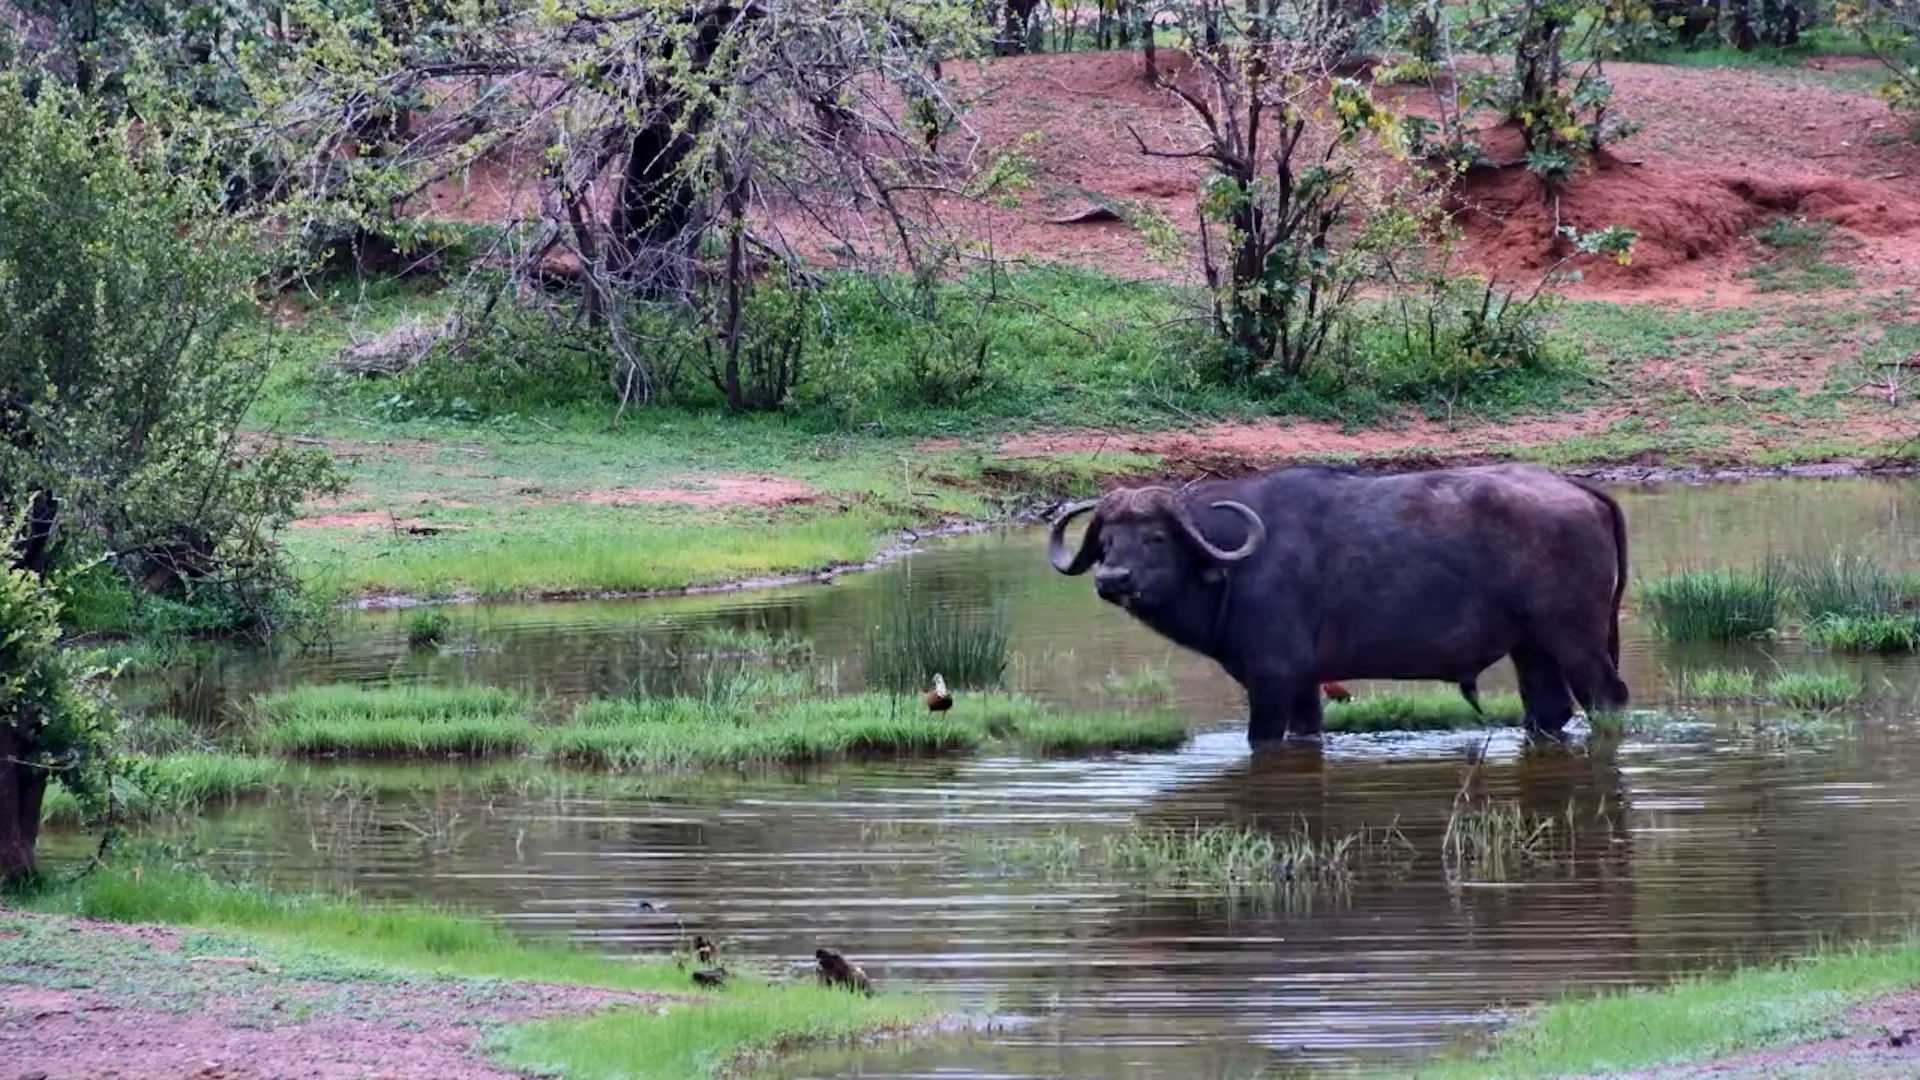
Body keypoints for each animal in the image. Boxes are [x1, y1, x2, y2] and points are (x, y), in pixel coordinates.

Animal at [1046, 462, 1630, 743]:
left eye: (1155, 538)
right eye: (1106, 541)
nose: (1112, 578)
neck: (1232, 569)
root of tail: (1576, 488)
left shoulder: (1272, 680)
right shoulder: (1306, 685)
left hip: (1576, 639)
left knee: (1607, 699)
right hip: (1530, 646)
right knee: (1548, 710)